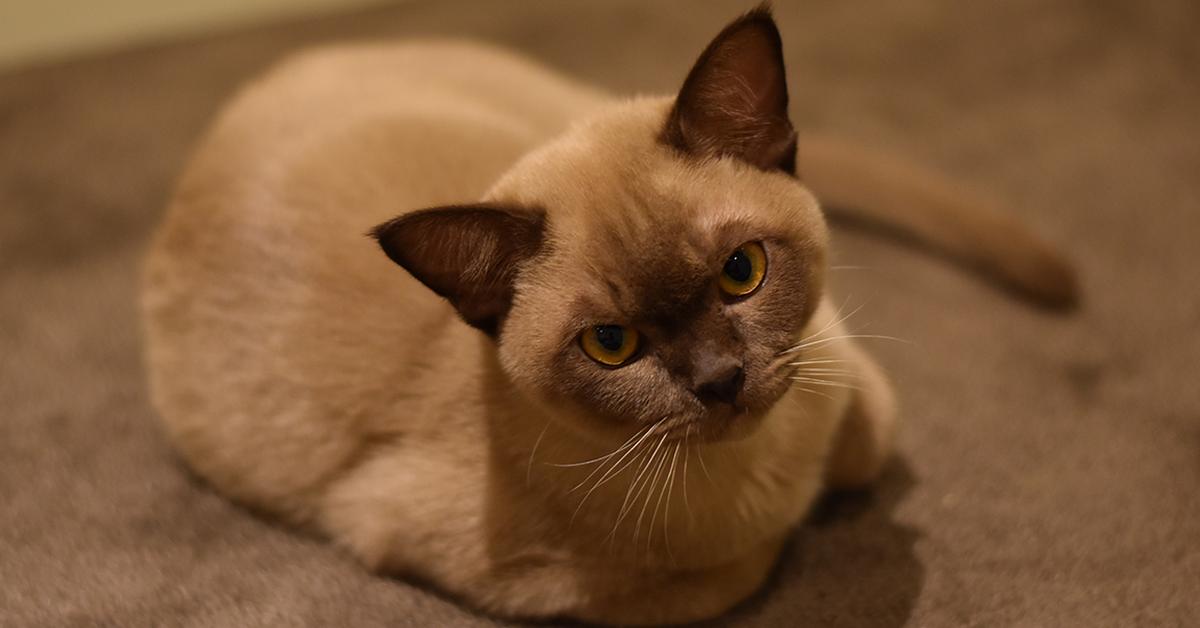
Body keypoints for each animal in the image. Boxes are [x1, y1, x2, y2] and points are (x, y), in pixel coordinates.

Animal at [140, 6, 1080, 628]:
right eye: (611, 346)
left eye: (741, 273)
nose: (721, 381)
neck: (767, 463)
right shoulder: (535, 577)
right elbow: (746, 563)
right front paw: (797, 525)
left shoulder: (839, 359)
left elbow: (869, 436)